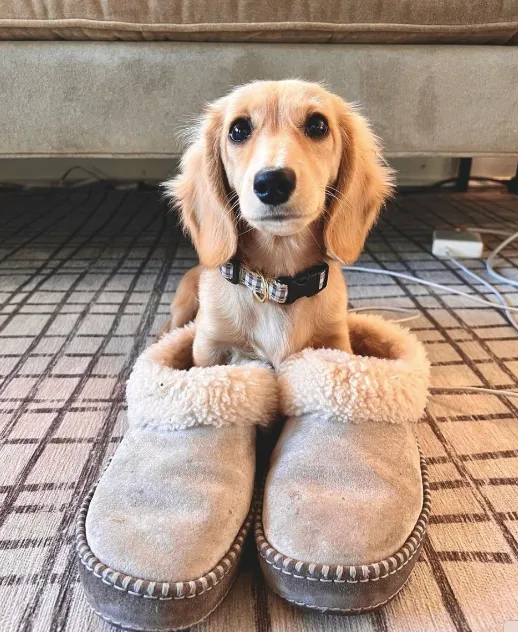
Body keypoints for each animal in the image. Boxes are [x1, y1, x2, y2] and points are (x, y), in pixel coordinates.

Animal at [162, 79, 394, 368]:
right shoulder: (208, 348)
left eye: (318, 125)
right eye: (238, 129)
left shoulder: (336, 341)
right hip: (182, 305)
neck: (275, 287)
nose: (272, 182)